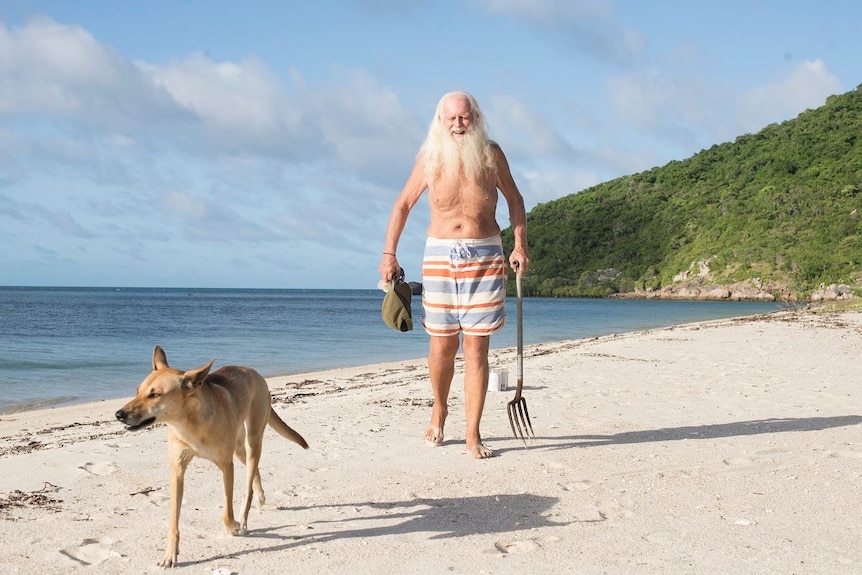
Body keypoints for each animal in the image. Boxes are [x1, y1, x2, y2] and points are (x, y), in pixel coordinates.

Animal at [115, 346, 308, 568]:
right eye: (137, 390)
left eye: (155, 394)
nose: (119, 414)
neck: (190, 423)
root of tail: (254, 372)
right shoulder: (177, 472)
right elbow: (173, 521)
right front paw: (170, 554)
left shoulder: (226, 466)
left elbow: (227, 512)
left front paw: (233, 526)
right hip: (239, 448)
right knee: (254, 472)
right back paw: (260, 496)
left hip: (253, 439)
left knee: (248, 483)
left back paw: (244, 518)